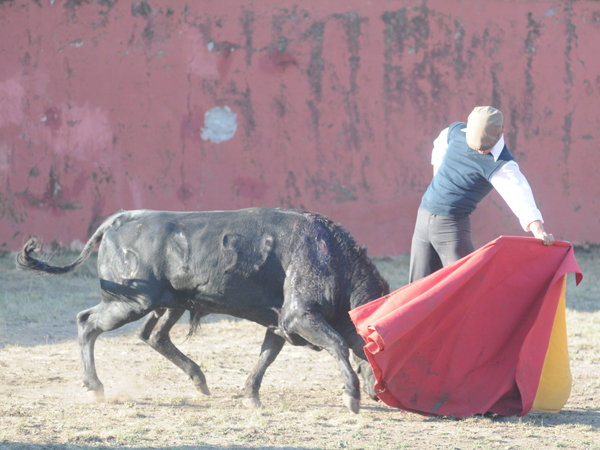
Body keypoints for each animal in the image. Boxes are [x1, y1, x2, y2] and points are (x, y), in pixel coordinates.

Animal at [16, 207, 392, 412]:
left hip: (168, 304)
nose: (379, 394)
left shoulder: (280, 323)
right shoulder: (300, 316)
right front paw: (351, 398)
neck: (333, 258)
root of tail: (119, 219)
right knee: (87, 323)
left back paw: (199, 380)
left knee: (153, 336)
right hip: (129, 303)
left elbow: (265, 357)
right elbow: (338, 345)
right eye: (377, 351)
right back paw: (95, 386)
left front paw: (250, 396)